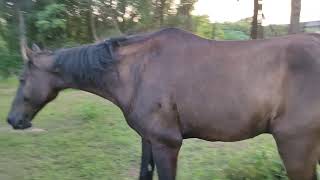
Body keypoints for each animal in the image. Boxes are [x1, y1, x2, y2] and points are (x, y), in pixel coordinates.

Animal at [5, 27, 320, 179]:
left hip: (295, 148)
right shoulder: (149, 140)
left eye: (22, 79)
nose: (12, 120)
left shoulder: (166, 144)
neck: (136, 71)